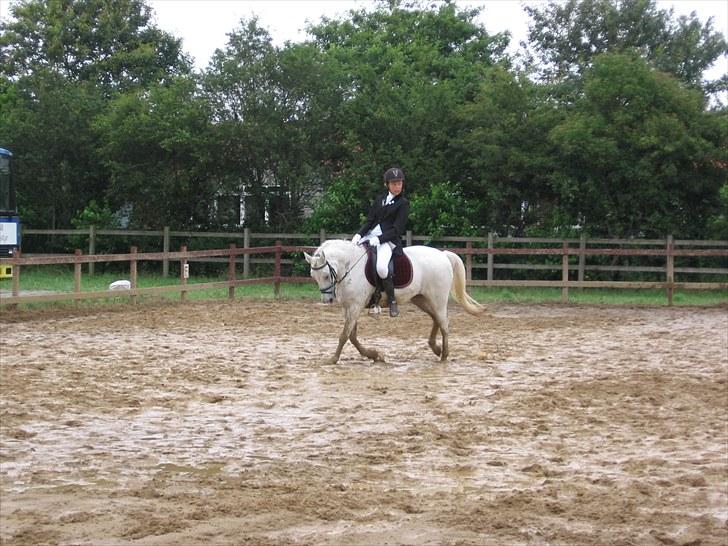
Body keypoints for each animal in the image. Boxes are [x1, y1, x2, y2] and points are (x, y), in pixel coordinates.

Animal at [304, 239, 486, 365]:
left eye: (326, 275)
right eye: (313, 276)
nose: (327, 300)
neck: (350, 267)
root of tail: (443, 254)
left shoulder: (355, 307)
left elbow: (344, 335)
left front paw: (333, 359)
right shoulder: (349, 307)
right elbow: (352, 336)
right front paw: (375, 355)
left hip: (437, 298)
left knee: (444, 323)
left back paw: (444, 355)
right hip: (421, 299)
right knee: (436, 319)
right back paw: (436, 348)